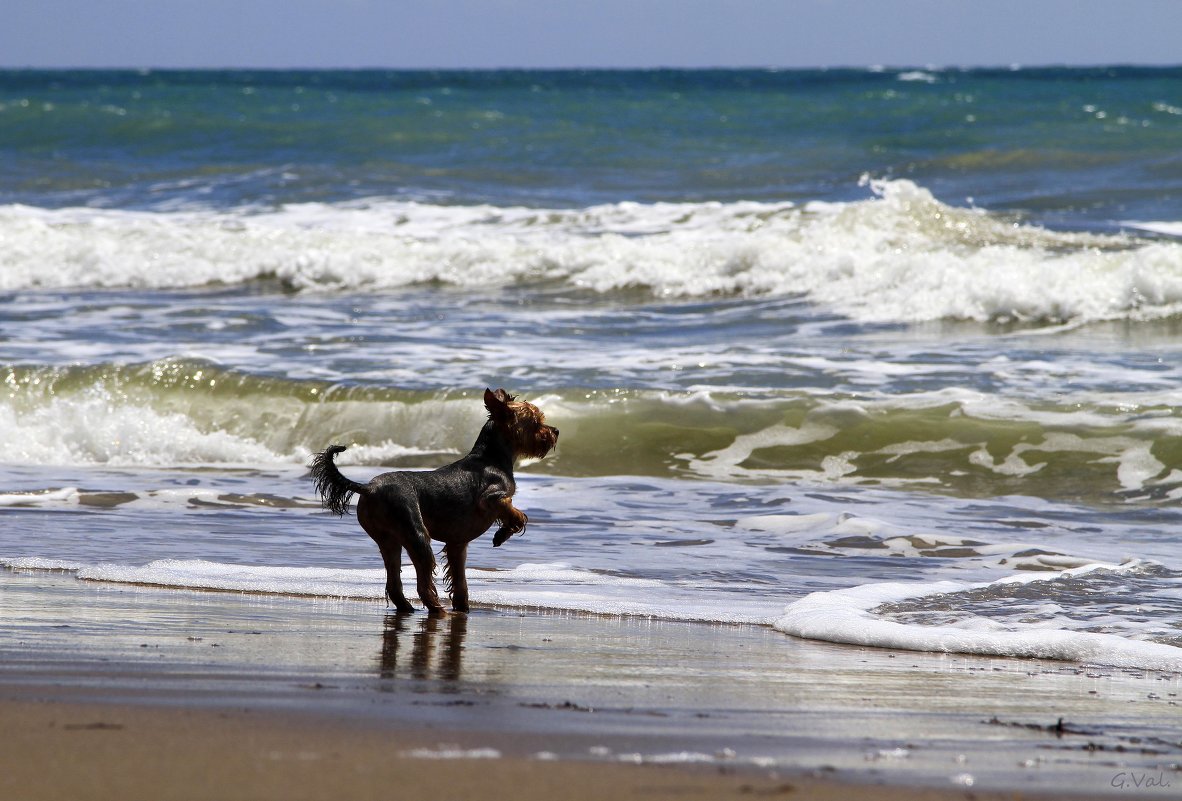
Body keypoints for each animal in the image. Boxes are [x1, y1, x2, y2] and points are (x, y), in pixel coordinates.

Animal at [309, 392, 557, 619]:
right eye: (536, 422)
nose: (555, 431)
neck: (492, 456)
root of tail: (369, 488)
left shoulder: (457, 543)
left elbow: (460, 581)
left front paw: (462, 607)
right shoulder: (492, 496)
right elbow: (516, 513)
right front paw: (502, 534)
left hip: (388, 540)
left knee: (394, 582)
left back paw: (412, 609)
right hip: (416, 533)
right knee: (422, 581)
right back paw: (437, 610)